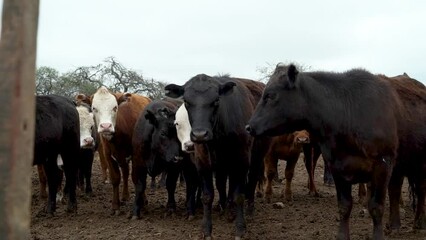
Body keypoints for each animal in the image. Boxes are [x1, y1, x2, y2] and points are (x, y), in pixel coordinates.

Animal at [90, 87, 151, 215]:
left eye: (115, 107)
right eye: (94, 108)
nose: (106, 126)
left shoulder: (136, 154)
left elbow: (136, 177)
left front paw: (141, 204)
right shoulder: (108, 155)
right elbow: (115, 178)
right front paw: (115, 206)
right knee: (125, 171)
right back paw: (125, 196)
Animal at [165, 74, 268, 239]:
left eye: (216, 101)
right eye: (186, 102)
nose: (199, 135)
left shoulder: (242, 161)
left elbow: (239, 194)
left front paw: (240, 228)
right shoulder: (203, 164)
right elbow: (207, 196)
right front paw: (206, 230)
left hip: (257, 156)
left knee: (251, 181)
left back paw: (248, 209)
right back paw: (226, 208)